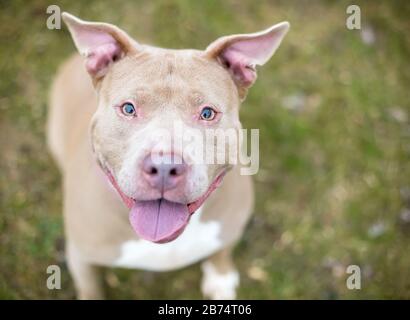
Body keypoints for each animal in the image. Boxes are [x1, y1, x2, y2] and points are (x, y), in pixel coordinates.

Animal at [46, 10, 290, 300]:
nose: (164, 167)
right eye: (128, 108)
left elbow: (221, 251)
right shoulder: (81, 256)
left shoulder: (231, 226)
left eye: (207, 113)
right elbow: (91, 287)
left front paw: (221, 279)